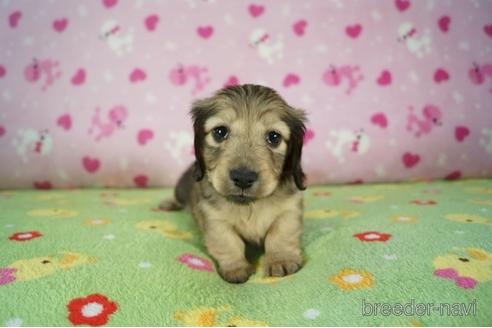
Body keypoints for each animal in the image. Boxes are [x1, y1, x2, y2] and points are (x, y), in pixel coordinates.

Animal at [161, 84, 306, 282]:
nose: (243, 177)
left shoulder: (289, 210)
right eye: (220, 132)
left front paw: (280, 259)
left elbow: (280, 234)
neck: (250, 206)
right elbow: (228, 242)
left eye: (274, 137)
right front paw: (236, 267)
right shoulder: (214, 218)